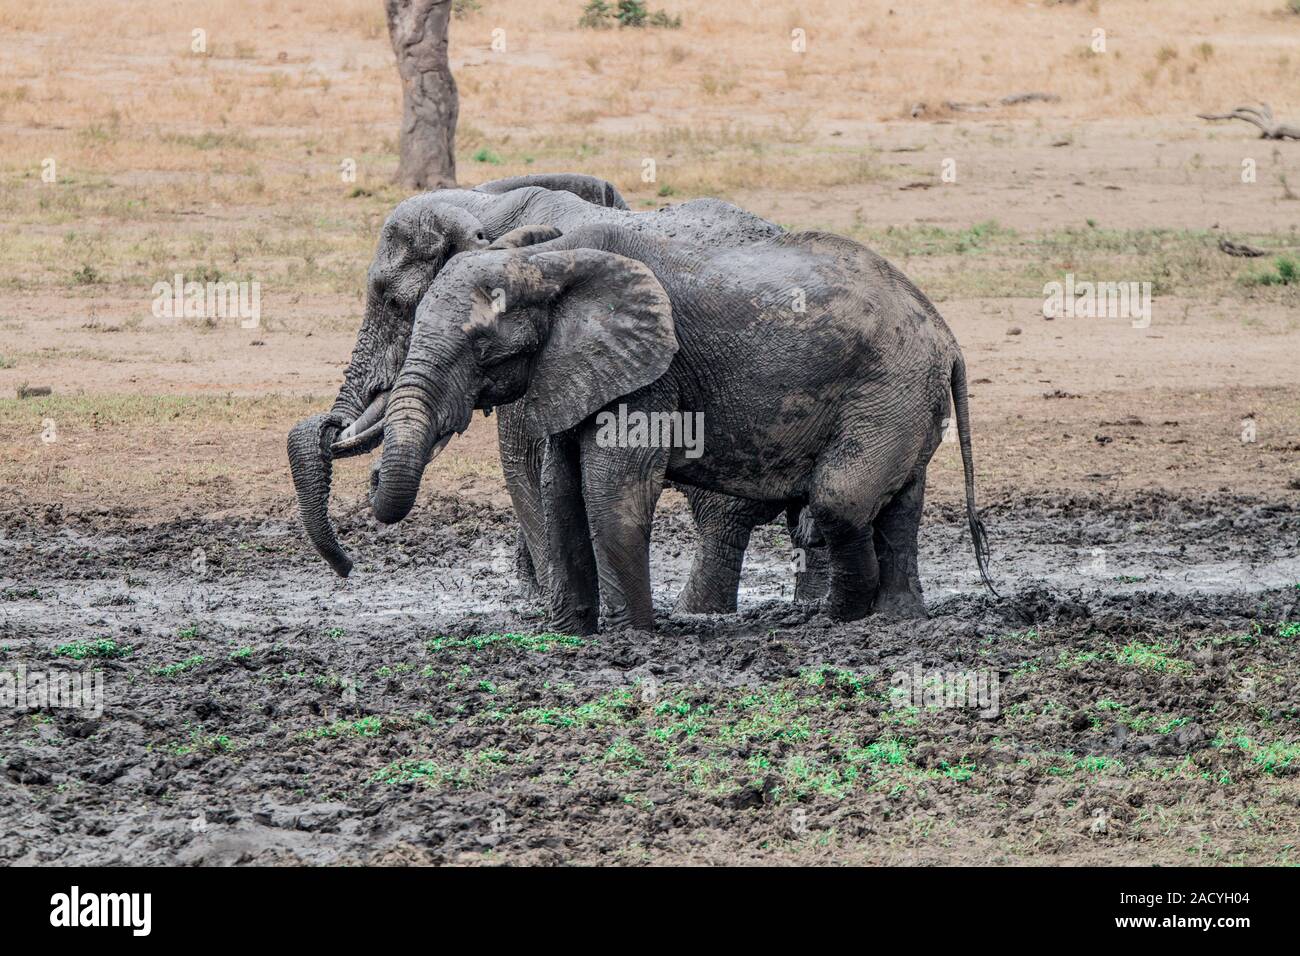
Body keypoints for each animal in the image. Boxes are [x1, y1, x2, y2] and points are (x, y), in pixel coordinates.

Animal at [288, 174, 826, 613]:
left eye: (398, 303)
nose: (347, 567)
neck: (482, 205)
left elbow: (523, 462)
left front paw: (547, 603)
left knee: (722, 516)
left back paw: (699, 613)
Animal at [371, 223, 998, 634]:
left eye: (481, 347)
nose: (375, 476)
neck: (548, 259)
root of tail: (946, 333)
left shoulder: (652, 372)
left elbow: (613, 490)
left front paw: (635, 635)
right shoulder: (576, 367)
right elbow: (561, 488)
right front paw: (572, 634)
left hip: (890, 385)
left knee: (840, 499)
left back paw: (841, 618)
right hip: (905, 396)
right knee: (897, 502)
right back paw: (896, 618)